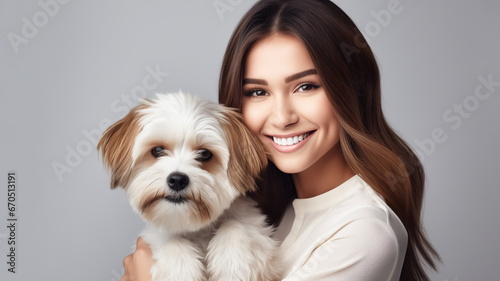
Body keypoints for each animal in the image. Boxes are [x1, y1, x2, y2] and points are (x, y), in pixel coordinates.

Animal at [97, 92, 282, 280]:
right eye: (157, 150)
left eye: (205, 154)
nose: (177, 180)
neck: (195, 228)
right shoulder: (153, 237)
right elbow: (171, 241)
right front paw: (181, 269)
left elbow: (235, 226)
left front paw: (232, 264)